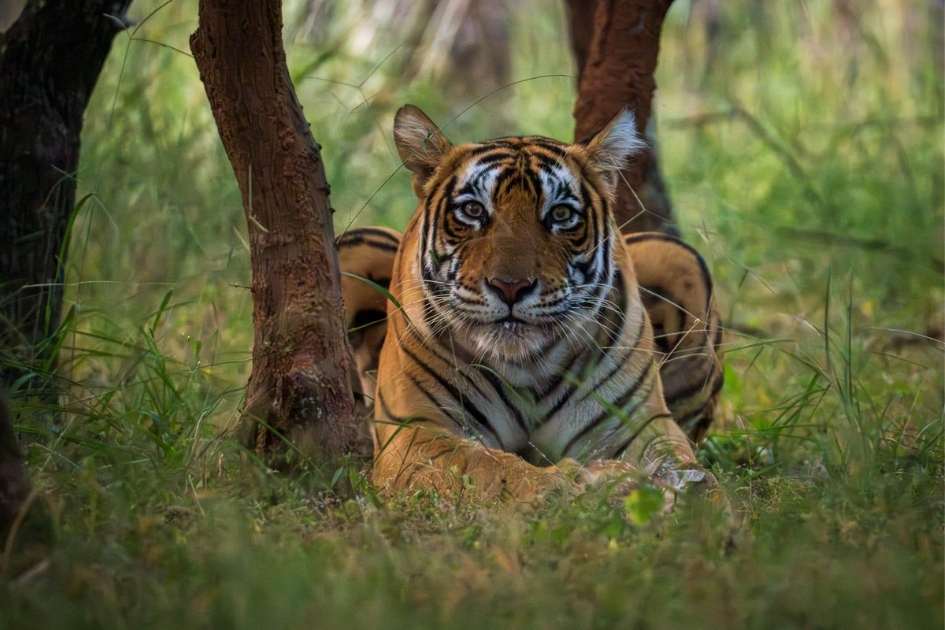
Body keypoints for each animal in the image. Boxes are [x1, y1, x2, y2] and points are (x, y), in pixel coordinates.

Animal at [337, 105, 723, 502]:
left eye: (561, 215)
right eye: (473, 211)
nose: (510, 287)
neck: (526, 366)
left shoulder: (640, 422)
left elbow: (683, 463)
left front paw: (697, 497)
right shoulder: (415, 429)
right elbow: (489, 468)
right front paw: (579, 484)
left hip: (679, 258)